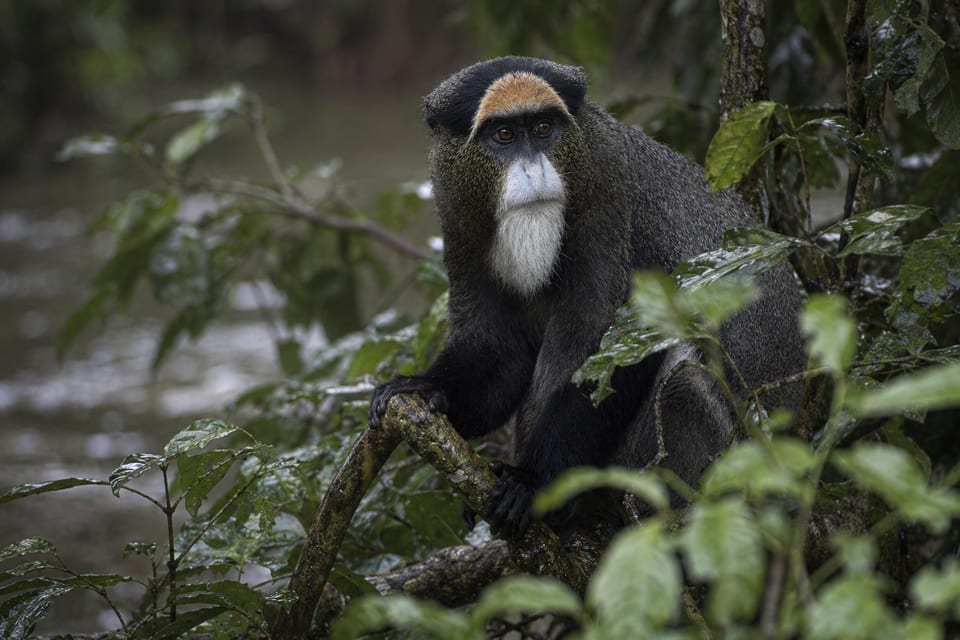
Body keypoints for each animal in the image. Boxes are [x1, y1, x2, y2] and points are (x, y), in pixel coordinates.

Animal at [369, 56, 805, 538]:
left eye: (543, 128)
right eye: (504, 135)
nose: (534, 169)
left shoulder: (612, 202)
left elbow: (614, 347)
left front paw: (532, 482)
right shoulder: (459, 218)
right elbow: (498, 347)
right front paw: (424, 387)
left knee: (684, 377)